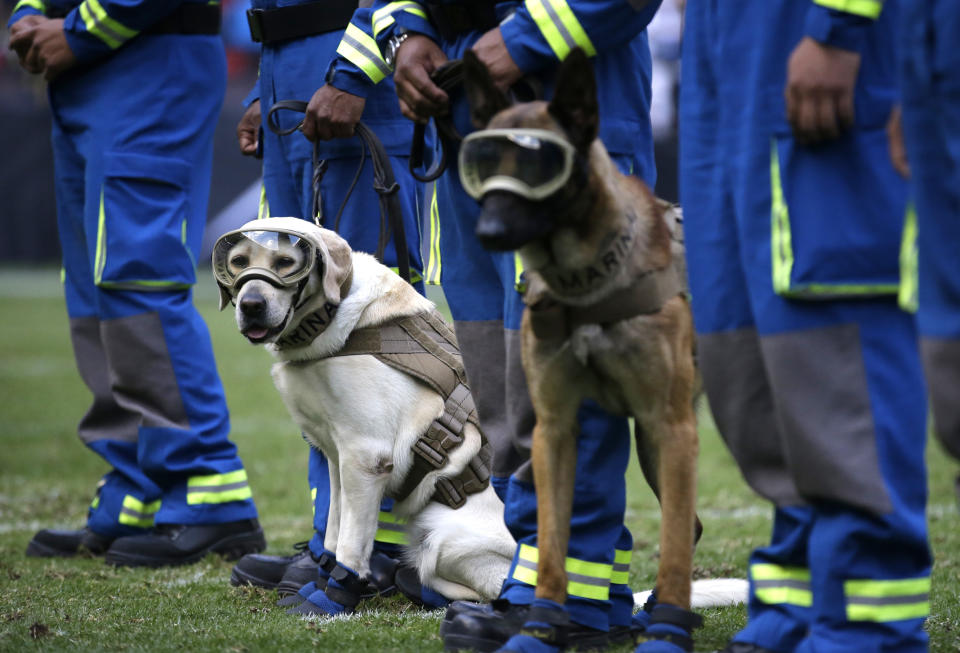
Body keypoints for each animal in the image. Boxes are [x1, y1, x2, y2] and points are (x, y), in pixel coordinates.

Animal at [213, 218, 516, 612]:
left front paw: (331, 598)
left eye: (285, 262)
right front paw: (319, 581)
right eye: (237, 262)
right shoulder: (336, 456)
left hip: (442, 535)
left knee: (487, 589)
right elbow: (333, 529)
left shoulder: (366, 458)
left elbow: (351, 543)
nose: (251, 305)